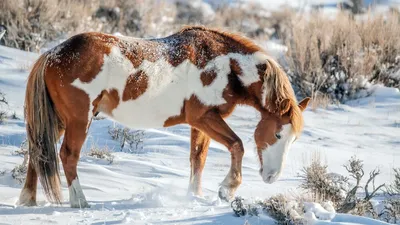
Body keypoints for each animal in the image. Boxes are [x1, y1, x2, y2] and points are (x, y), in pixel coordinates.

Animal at [18, 25, 310, 207]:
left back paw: (28, 199)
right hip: (79, 120)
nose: (271, 177)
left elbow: (197, 159)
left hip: (58, 119)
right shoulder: (203, 117)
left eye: (294, 139)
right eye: (278, 133)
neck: (227, 66)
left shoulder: (200, 124)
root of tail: (52, 54)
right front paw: (227, 189)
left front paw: (195, 196)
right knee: (67, 155)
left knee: (38, 151)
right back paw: (80, 201)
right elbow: (237, 145)